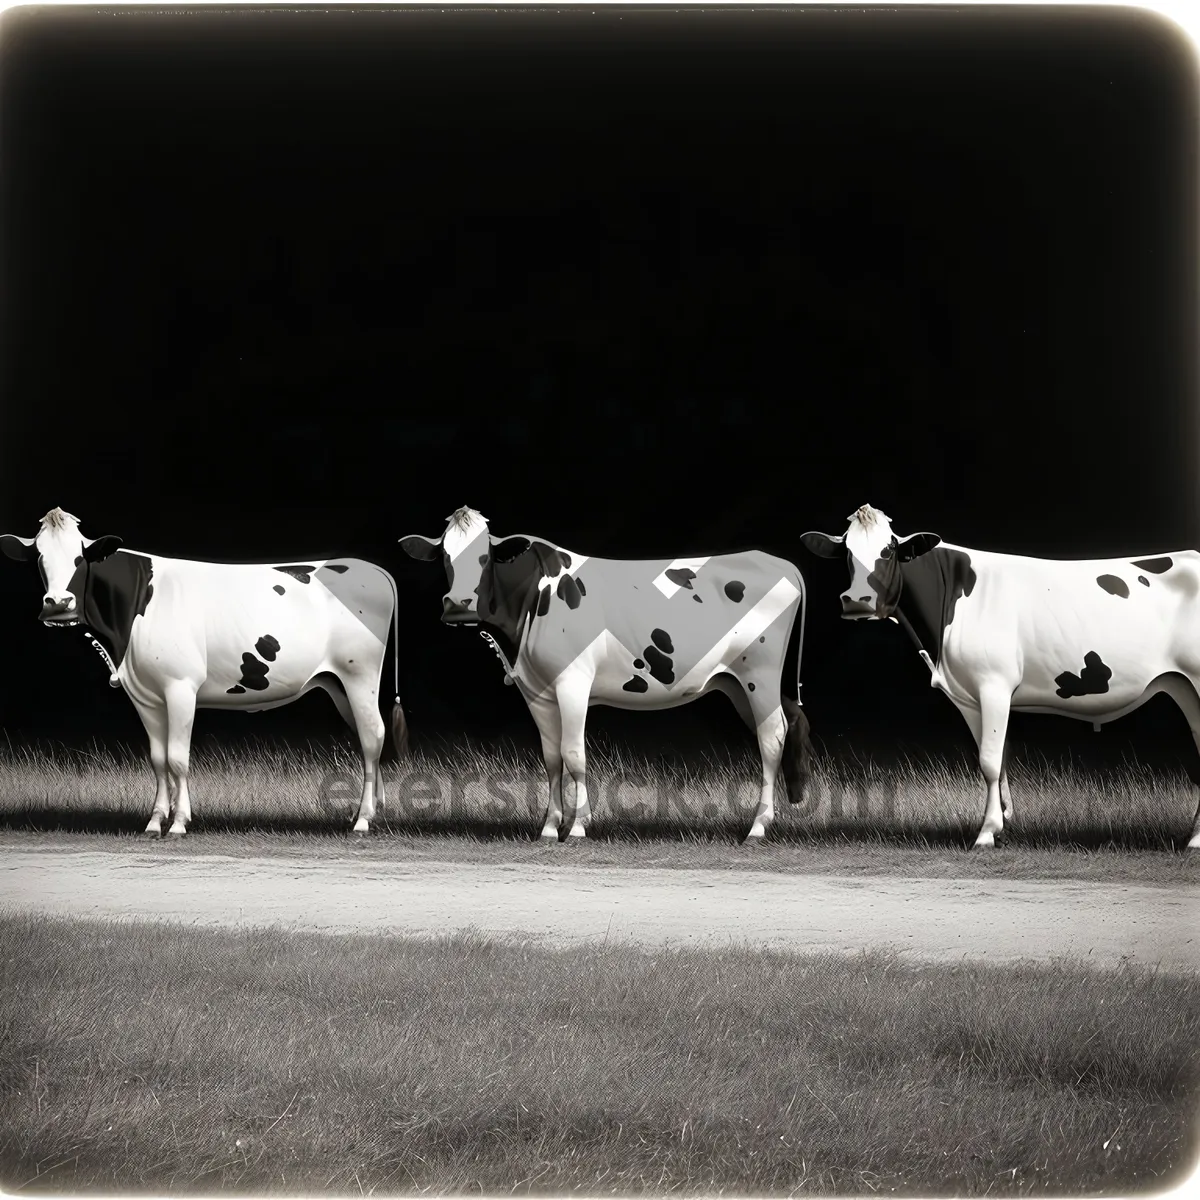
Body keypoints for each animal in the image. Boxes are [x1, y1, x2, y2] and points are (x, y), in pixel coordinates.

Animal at [1, 506, 408, 835]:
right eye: (39, 558)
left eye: (80, 558)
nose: (58, 604)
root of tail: (371, 568)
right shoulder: (144, 695)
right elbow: (158, 759)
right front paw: (154, 821)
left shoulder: (181, 686)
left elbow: (178, 758)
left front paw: (179, 823)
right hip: (337, 684)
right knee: (366, 736)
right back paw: (373, 811)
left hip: (360, 675)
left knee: (373, 736)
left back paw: (363, 820)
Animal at [403, 508, 816, 844]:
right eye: (445, 556)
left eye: (485, 556)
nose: (458, 605)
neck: (535, 596)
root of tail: (775, 561)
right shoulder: (535, 690)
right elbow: (551, 757)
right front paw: (549, 827)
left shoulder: (573, 682)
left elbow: (573, 753)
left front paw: (578, 826)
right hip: (735, 683)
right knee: (784, 725)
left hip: (759, 674)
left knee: (771, 736)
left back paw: (758, 827)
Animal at [801, 501, 1200, 849]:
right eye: (846, 552)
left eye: (888, 550)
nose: (856, 601)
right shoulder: (969, 696)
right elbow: (997, 758)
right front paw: (1005, 822)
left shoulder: (993, 684)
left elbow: (990, 761)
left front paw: (987, 832)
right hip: (1183, 686)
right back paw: (1193, 838)